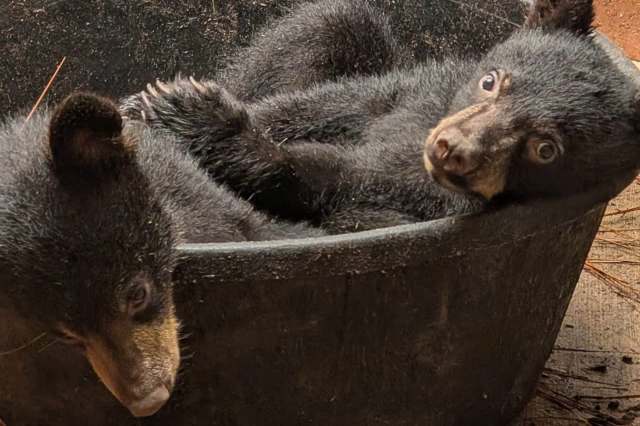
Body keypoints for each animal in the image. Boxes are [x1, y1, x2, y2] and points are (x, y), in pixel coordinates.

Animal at [121, 0, 640, 234]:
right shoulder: (412, 90)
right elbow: (317, 105)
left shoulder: (427, 197)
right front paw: (155, 102)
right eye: (491, 80)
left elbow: (333, 175)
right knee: (335, 20)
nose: (450, 149)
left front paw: (198, 119)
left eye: (545, 149)